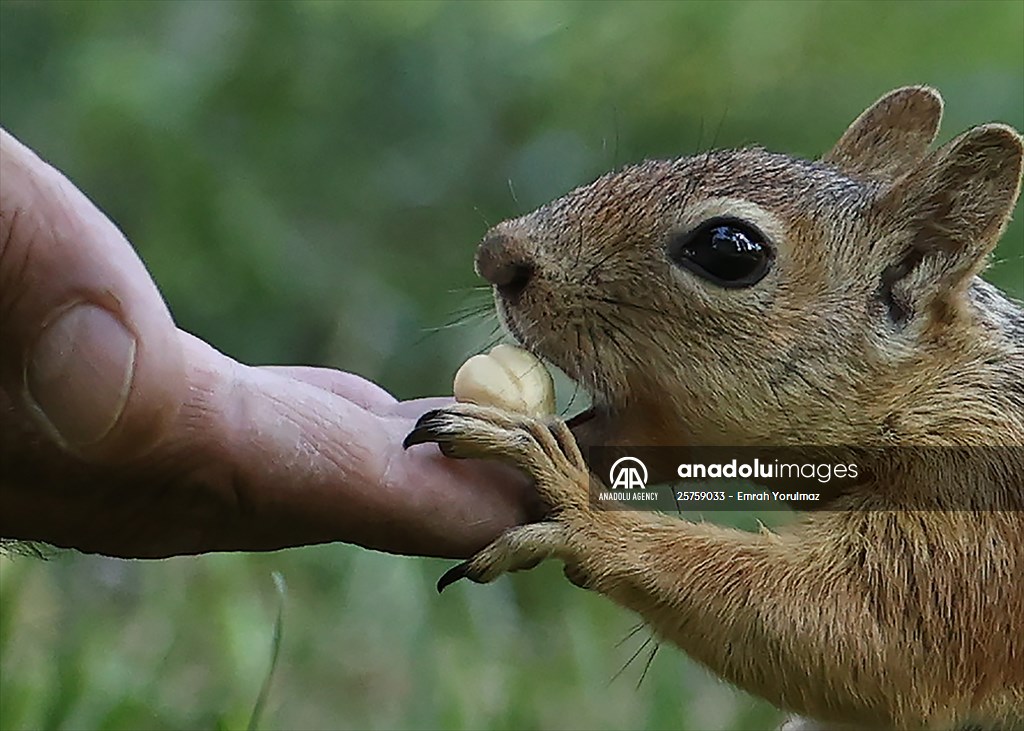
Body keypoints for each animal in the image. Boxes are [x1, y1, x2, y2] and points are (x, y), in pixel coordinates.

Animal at [403, 86, 1024, 730]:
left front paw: (574, 503)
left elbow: (876, 634)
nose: (496, 254)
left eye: (728, 251)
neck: (931, 393)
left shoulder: (981, 507)